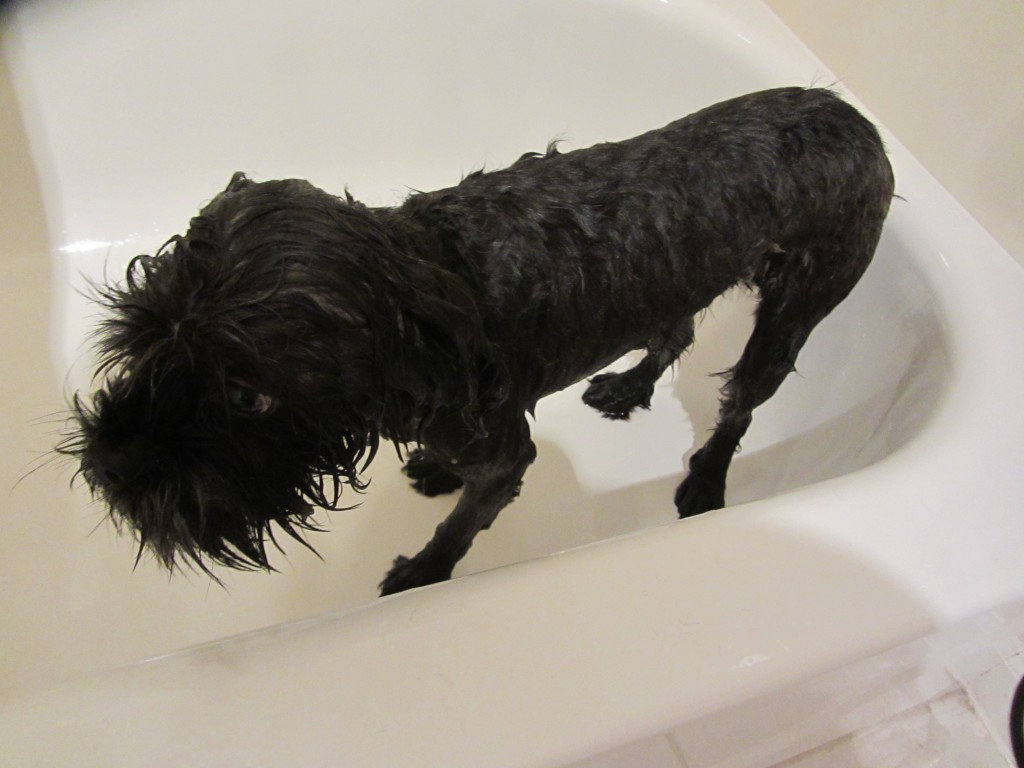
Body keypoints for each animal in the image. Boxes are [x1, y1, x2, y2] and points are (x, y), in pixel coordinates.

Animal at [66, 88, 897, 593]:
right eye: (139, 335)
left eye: (247, 395)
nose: (108, 465)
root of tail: (850, 111)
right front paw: (435, 468)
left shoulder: (506, 454)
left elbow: (466, 520)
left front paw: (421, 574)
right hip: (675, 280)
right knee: (678, 327)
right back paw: (629, 385)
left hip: (802, 299)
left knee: (742, 402)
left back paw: (706, 481)